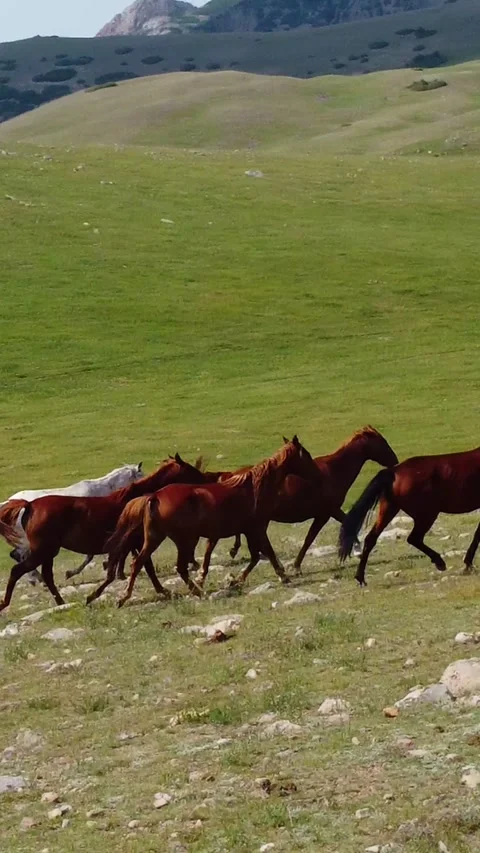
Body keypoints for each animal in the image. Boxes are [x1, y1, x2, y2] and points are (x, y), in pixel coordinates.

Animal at [93, 435, 326, 607]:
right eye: (306, 455)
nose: (318, 474)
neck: (254, 487)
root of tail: (153, 496)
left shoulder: (249, 530)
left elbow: (255, 555)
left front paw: (236, 580)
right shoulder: (257, 528)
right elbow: (266, 552)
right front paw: (283, 576)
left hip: (155, 537)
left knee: (139, 562)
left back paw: (124, 597)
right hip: (184, 540)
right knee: (177, 567)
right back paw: (195, 591)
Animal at [226, 426, 397, 571]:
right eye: (382, 442)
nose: (395, 461)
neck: (334, 470)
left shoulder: (330, 512)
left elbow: (345, 523)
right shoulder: (326, 513)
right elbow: (310, 538)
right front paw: (296, 566)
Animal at [338, 445, 480, 586]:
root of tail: (393, 471)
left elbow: (477, 534)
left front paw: (468, 563)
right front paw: (468, 564)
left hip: (389, 510)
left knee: (371, 538)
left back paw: (360, 578)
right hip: (427, 515)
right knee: (414, 538)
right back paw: (439, 562)